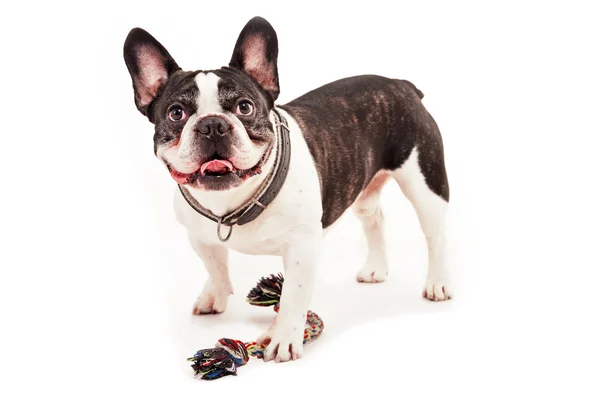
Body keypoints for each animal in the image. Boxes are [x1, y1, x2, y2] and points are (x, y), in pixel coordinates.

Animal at [122, 17, 450, 364]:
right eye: (176, 113)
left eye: (245, 107)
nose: (212, 124)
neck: (235, 199)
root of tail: (401, 84)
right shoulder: (199, 236)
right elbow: (215, 265)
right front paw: (215, 294)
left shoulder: (302, 248)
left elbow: (294, 295)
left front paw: (283, 339)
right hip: (363, 187)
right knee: (374, 219)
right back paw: (375, 269)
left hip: (425, 183)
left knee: (436, 235)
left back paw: (439, 283)